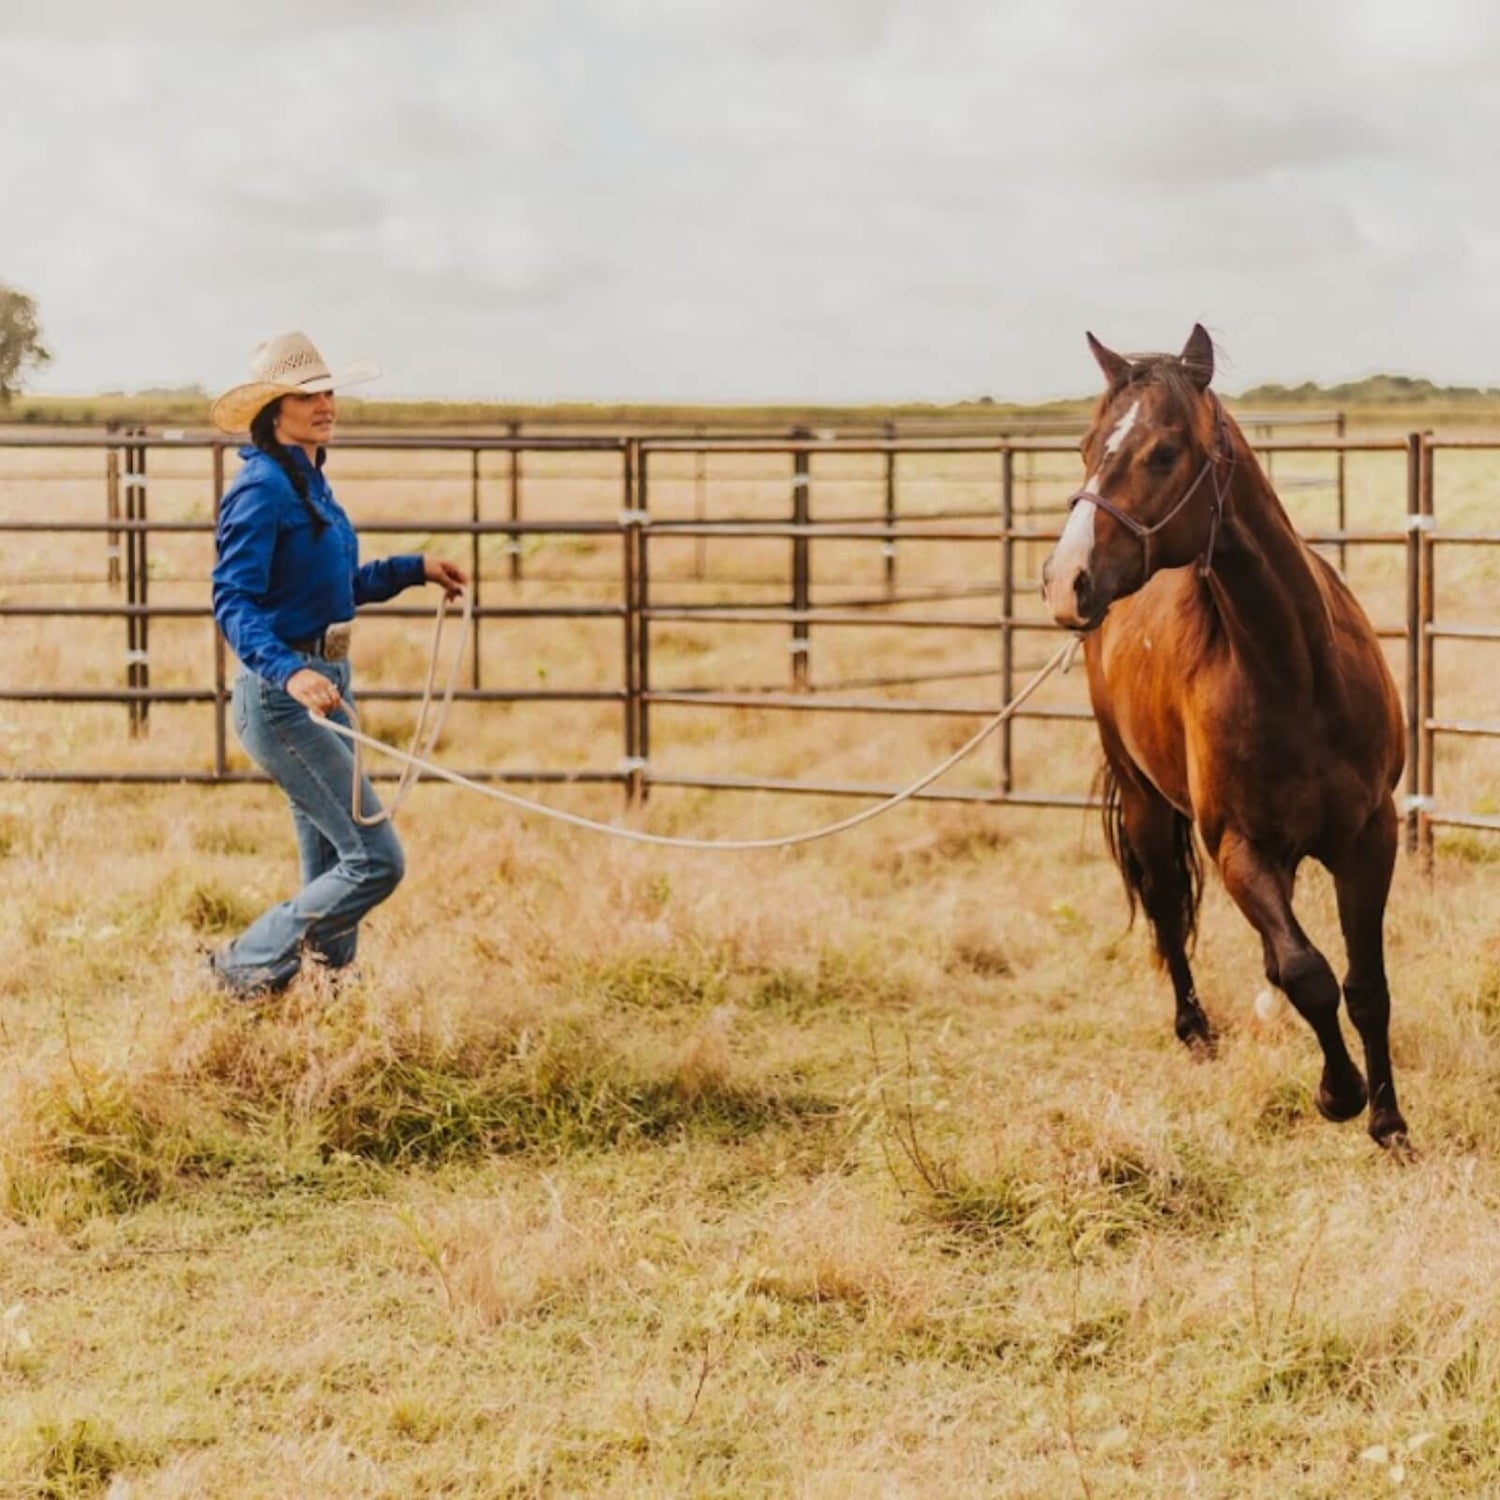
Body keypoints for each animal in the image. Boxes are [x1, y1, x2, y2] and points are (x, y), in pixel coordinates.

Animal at [1040, 325, 1409, 1150]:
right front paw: (1339, 1092)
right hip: (1146, 801)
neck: (1296, 672)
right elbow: (1309, 972)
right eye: (1086, 446)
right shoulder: (1238, 846)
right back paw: (1196, 1031)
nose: (1064, 580)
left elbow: (1366, 984)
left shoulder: (1370, 836)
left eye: (1164, 452)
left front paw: (1389, 1121)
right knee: (1169, 909)